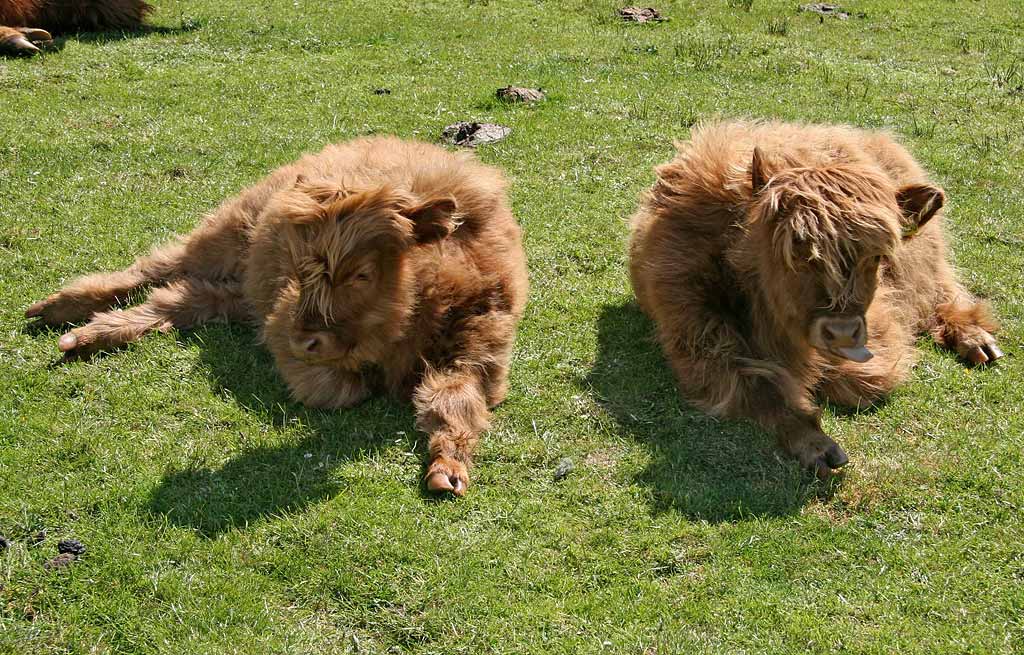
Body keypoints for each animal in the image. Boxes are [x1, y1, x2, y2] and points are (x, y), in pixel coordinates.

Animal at [29, 137, 532, 495]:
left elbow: (453, 403)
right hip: (221, 236)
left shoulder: (479, 359)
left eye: (362, 273)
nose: (304, 339)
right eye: (298, 267)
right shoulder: (281, 328)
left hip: (237, 289)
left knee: (181, 298)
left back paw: (88, 336)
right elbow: (342, 388)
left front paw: (448, 472)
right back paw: (60, 310)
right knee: (154, 268)